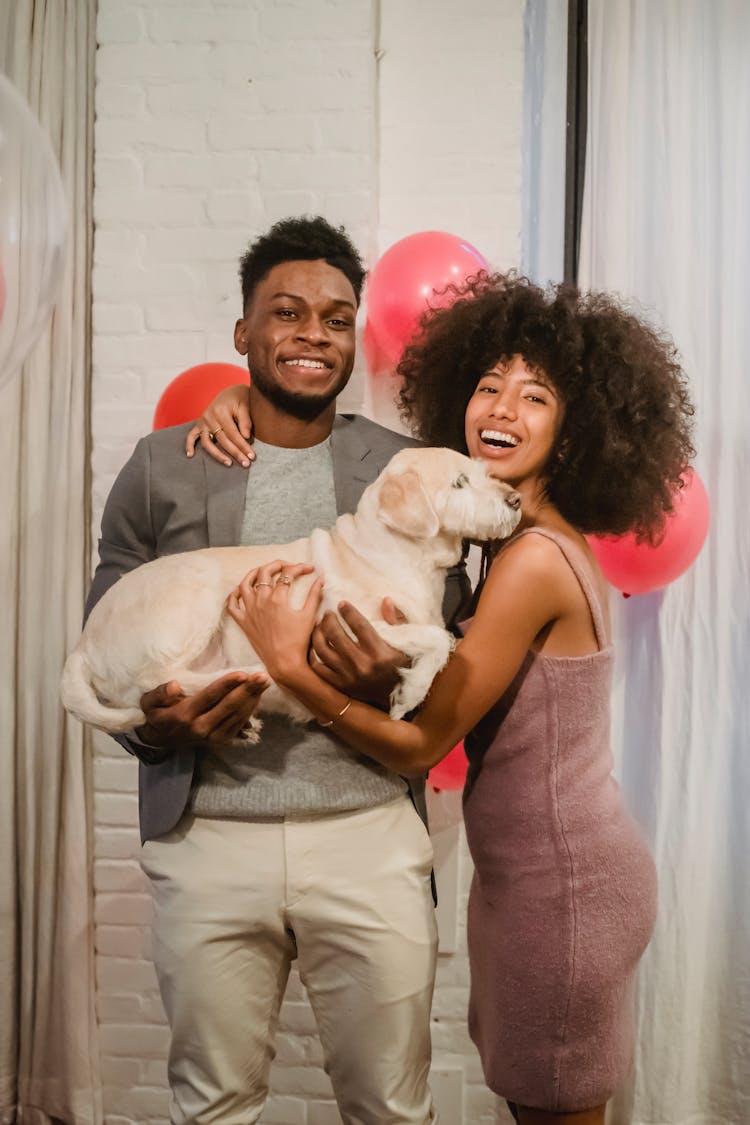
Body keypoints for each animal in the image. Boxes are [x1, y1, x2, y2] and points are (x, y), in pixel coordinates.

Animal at [60, 447, 521, 738]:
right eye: (459, 482)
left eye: (482, 473)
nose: (515, 499)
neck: (401, 554)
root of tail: (81, 644)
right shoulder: (346, 624)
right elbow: (437, 639)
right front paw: (410, 693)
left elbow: (437, 638)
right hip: (195, 590)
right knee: (156, 678)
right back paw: (248, 675)